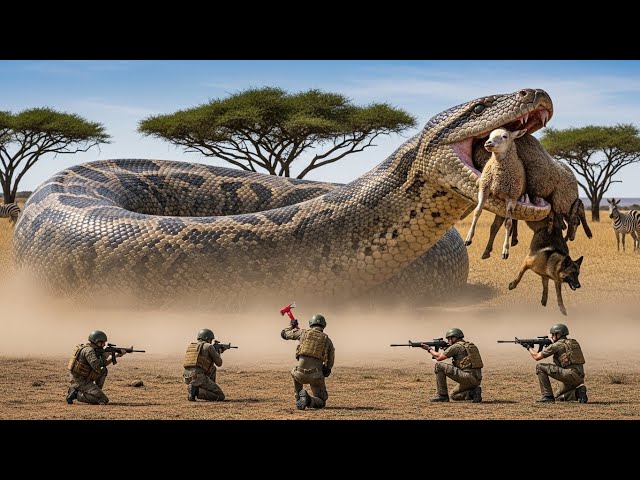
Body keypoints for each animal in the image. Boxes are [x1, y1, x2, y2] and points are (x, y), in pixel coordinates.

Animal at [464, 127, 527, 260]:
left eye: (505, 136)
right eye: (489, 135)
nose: (488, 143)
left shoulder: (511, 197)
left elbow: (508, 223)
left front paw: (505, 250)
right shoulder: (484, 189)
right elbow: (477, 212)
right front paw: (468, 239)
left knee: (512, 220)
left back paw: (513, 239)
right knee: (496, 225)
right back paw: (487, 251)